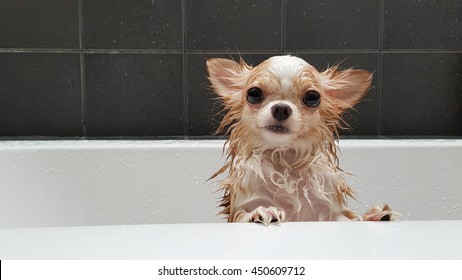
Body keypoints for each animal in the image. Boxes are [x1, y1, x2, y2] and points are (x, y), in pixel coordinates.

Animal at [208, 56, 396, 225]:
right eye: (254, 93)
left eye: (312, 97)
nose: (281, 108)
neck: (284, 158)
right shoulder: (240, 208)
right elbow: (244, 215)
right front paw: (262, 211)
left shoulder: (329, 213)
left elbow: (347, 219)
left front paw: (370, 217)